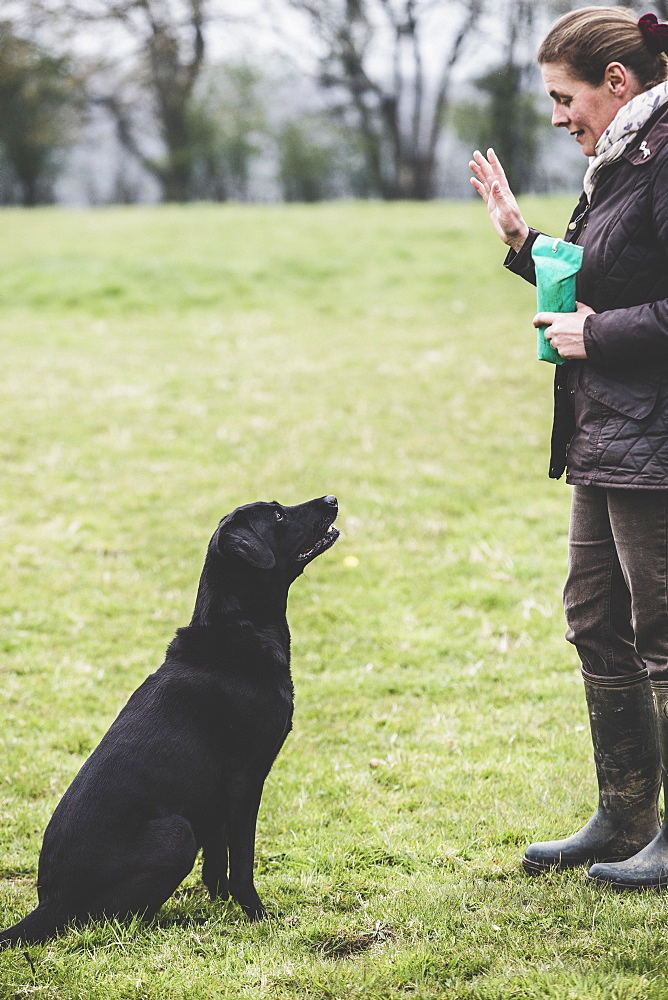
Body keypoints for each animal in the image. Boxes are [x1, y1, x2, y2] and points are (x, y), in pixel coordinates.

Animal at [0, 496, 340, 940]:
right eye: (279, 514)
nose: (332, 499)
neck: (240, 628)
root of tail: (48, 902)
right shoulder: (245, 782)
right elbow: (241, 863)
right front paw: (258, 916)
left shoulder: (215, 794)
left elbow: (217, 864)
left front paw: (220, 904)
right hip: (176, 834)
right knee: (110, 920)